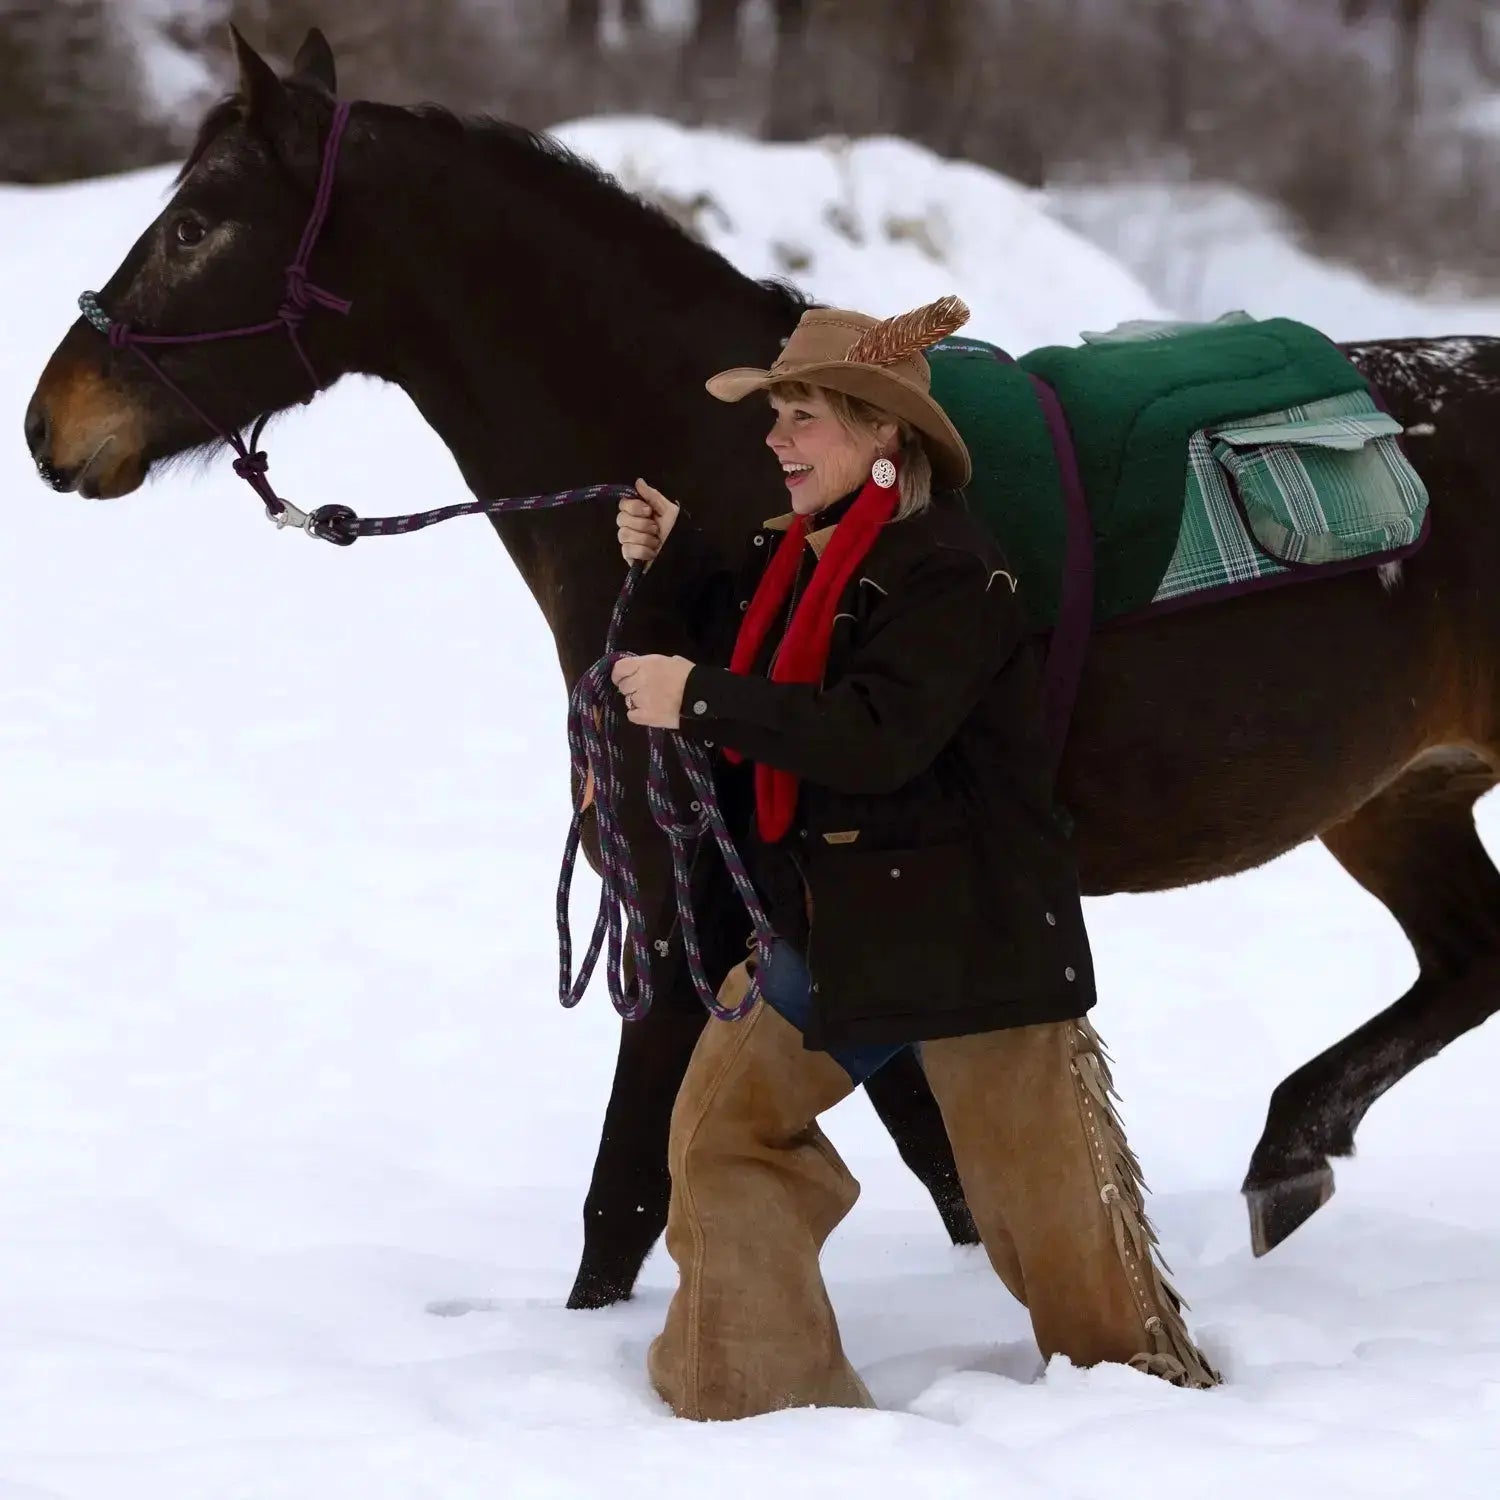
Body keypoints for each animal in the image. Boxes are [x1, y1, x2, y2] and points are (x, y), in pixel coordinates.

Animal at [24, 30, 1500, 1308]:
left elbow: (631, 1183)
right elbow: (929, 1148)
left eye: (198, 225)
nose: (49, 424)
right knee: (1466, 965)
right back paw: (1291, 1153)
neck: (732, 480)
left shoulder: (701, 905)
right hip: (1396, 798)